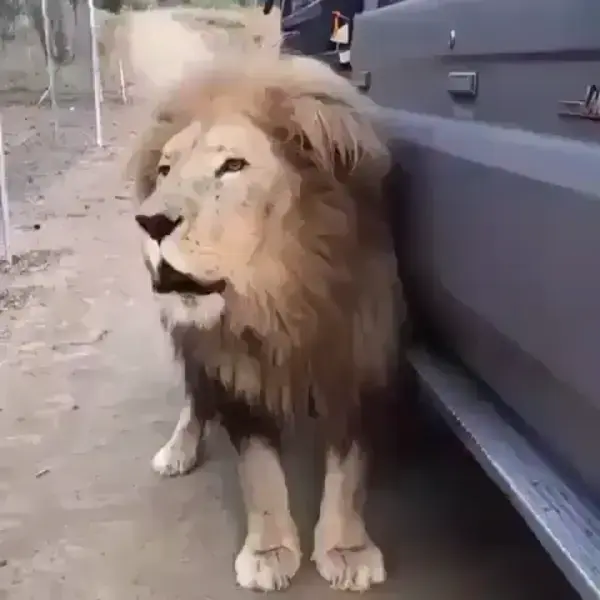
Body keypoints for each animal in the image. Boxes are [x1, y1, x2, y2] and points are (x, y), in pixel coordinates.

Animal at [128, 49, 406, 592]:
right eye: (166, 170)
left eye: (232, 166)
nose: (151, 223)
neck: (280, 300)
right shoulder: (236, 370)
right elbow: (259, 471)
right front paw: (269, 551)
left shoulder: (358, 357)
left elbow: (350, 468)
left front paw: (346, 550)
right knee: (195, 395)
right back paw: (178, 449)